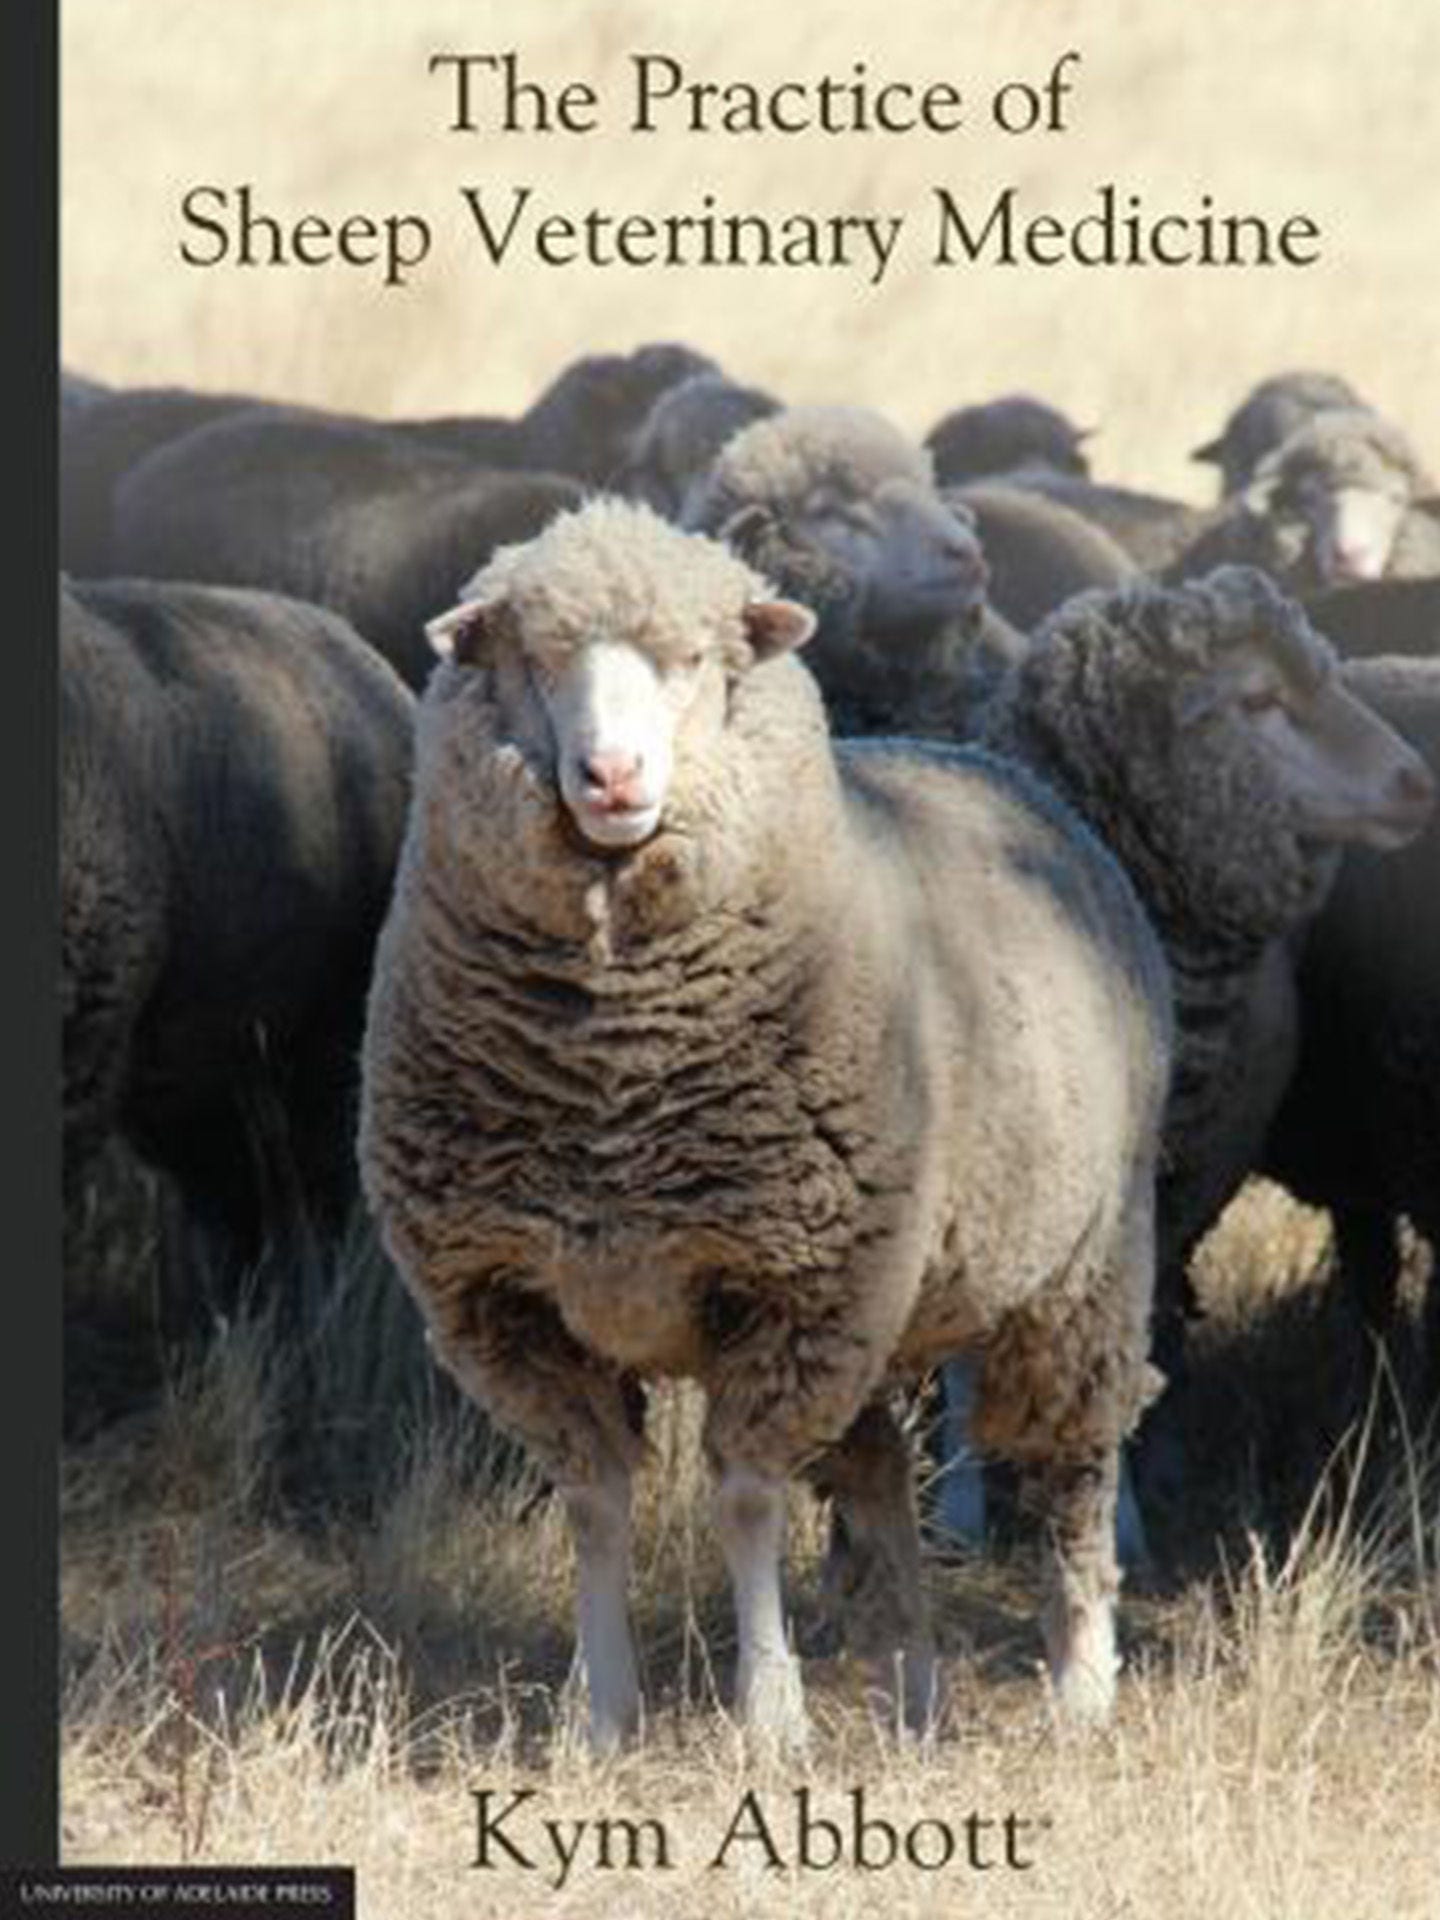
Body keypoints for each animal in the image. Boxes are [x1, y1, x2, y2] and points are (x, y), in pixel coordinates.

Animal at [358, 496, 1174, 1750]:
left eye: (695, 661)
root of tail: (983, 759)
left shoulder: (792, 1290)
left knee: (1075, 1468)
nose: (610, 774)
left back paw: (1082, 1683)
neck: (611, 1077)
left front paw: (771, 1715)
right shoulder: (511, 1302)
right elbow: (595, 1504)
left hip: (1079, 1269)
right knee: (881, 1482)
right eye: (536, 662)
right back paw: (916, 1692)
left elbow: (746, 1500)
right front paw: (600, 1715)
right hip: (888, 1300)